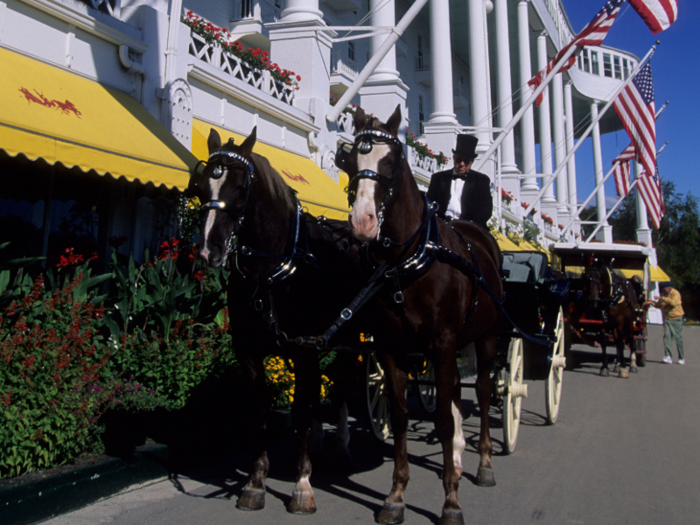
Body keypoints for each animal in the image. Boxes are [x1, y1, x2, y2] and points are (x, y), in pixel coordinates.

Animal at [186, 129, 366, 512]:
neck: (270, 269)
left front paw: (302, 485)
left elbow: (299, 411)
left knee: (342, 386)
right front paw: (255, 483)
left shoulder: (305, 348)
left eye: (241, 187)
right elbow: (261, 411)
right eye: (202, 187)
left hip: (350, 338)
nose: (209, 251)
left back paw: (342, 449)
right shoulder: (250, 351)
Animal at [344, 103, 504, 524]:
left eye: (392, 160)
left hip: (487, 337)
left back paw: (483, 464)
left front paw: (451, 501)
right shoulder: (390, 346)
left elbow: (446, 419)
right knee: (455, 391)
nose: (362, 222)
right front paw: (396, 495)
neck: (405, 260)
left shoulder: (443, 343)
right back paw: (460, 460)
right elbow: (400, 415)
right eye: (351, 159)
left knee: (483, 392)